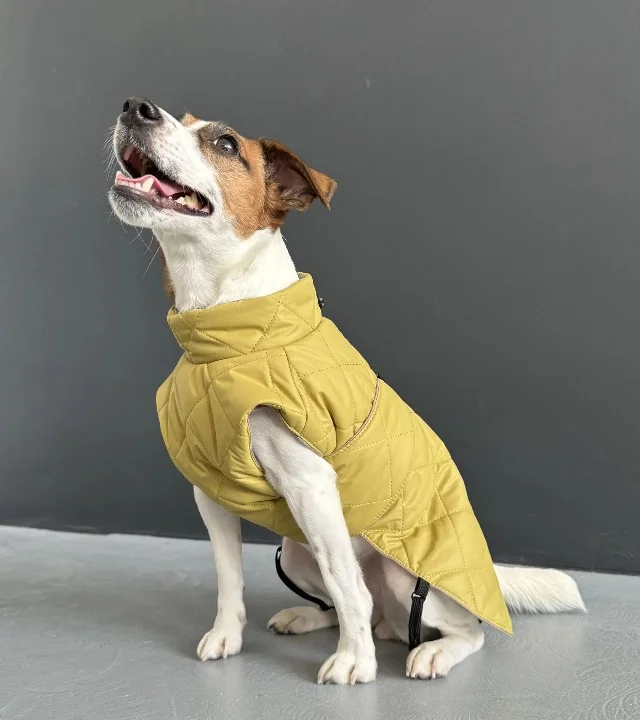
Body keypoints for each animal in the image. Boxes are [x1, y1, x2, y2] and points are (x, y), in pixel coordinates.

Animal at [108, 96, 585, 685]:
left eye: (225, 143)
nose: (136, 107)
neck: (226, 340)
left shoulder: (310, 484)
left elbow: (344, 581)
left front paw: (354, 661)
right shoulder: (209, 491)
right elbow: (228, 575)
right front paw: (227, 635)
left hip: (407, 577)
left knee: (445, 624)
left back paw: (428, 651)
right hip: (295, 553)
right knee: (362, 607)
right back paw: (310, 618)